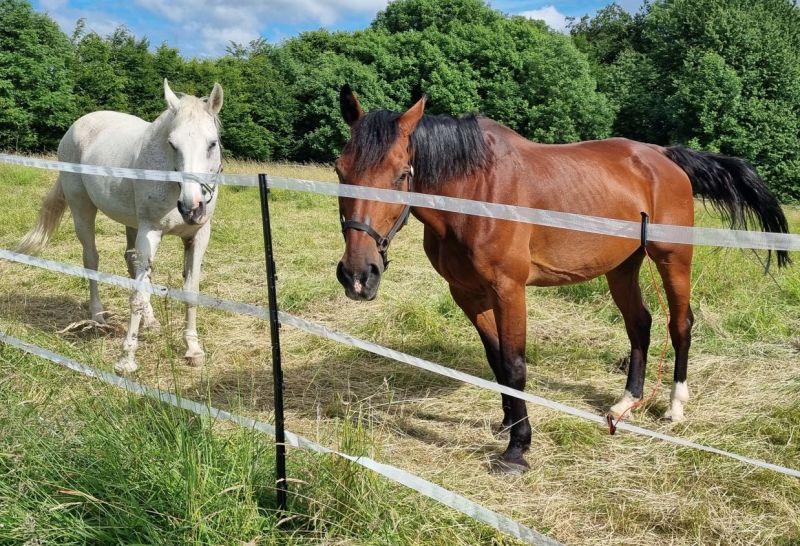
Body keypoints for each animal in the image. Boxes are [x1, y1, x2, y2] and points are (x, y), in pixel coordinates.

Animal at [19, 78, 225, 372]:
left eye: (212, 143)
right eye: (172, 144)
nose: (191, 207)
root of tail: (76, 126)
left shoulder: (198, 236)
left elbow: (191, 292)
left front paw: (193, 350)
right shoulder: (150, 232)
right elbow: (136, 296)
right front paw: (126, 359)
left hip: (132, 225)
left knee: (132, 263)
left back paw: (150, 321)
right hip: (83, 209)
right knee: (91, 259)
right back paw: (98, 316)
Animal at [334, 85, 792, 472]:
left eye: (400, 174)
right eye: (340, 170)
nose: (358, 275)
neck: (476, 192)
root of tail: (663, 156)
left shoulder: (508, 290)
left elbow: (515, 365)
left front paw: (517, 448)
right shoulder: (467, 294)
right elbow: (496, 361)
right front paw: (507, 423)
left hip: (672, 259)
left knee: (680, 324)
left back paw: (675, 406)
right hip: (622, 266)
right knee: (639, 324)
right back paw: (626, 402)